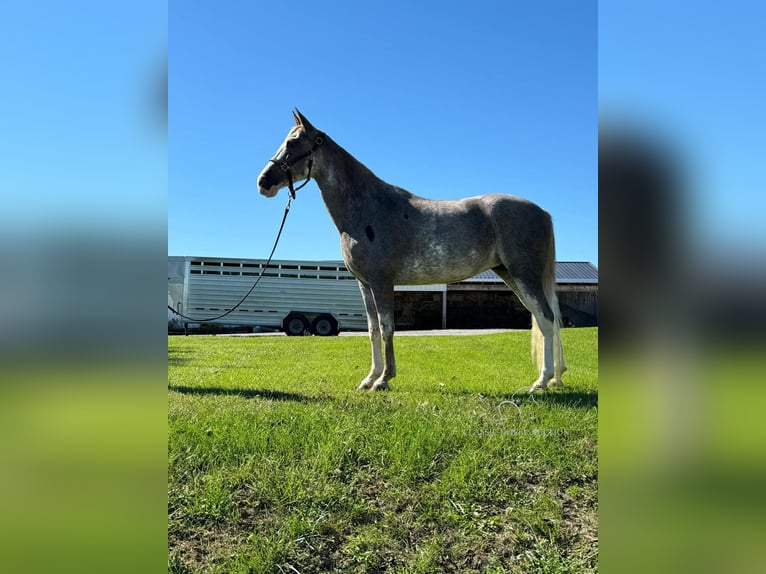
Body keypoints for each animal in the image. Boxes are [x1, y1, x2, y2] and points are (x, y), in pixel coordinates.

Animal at [260, 110, 568, 394]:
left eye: (293, 142)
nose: (263, 182)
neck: (368, 208)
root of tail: (542, 212)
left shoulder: (382, 282)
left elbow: (387, 327)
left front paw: (384, 380)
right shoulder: (365, 284)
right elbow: (372, 330)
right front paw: (369, 379)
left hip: (524, 275)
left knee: (546, 318)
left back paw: (542, 381)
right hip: (511, 275)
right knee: (544, 320)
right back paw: (555, 377)